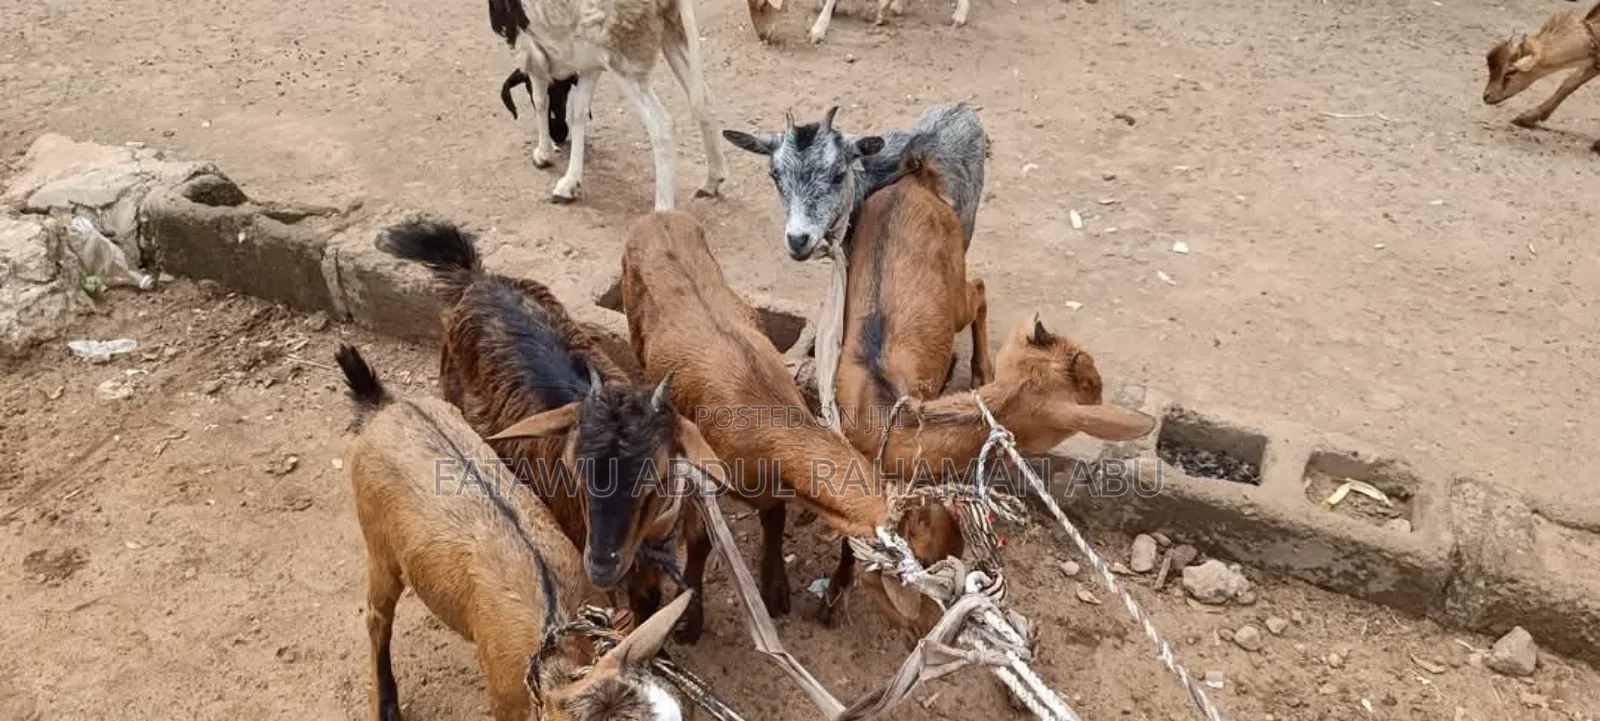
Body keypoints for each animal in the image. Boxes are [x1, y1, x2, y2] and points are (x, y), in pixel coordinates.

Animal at [335, 344, 693, 721]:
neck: (554, 640)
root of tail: (387, 407)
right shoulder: (504, 700)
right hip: (378, 541)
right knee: (377, 615)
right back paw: (386, 703)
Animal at [487, 0, 727, 210]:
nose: (559, 135)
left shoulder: (528, 48)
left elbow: (540, 100)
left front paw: (544, 154)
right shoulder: (589, 60)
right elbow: (578, 113)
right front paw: (569, 183)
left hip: (625, 54)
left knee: (662, 126)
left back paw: (663, 210)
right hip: (671, 31)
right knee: (705, 100)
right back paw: (712, 180)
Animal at [619, 209, 961, 642]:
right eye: (925, 571)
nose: (936, 632)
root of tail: (659, 215)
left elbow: (774, 516)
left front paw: (776, 590)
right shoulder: (702, 475)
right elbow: (699, 542)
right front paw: (688, 622)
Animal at [1483, 0, 1600, 151]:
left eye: (1511, 71)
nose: (1486, 96)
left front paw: (1598, 144)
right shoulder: (1595, 61)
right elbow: (1569, 83)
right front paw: (1526, 118)